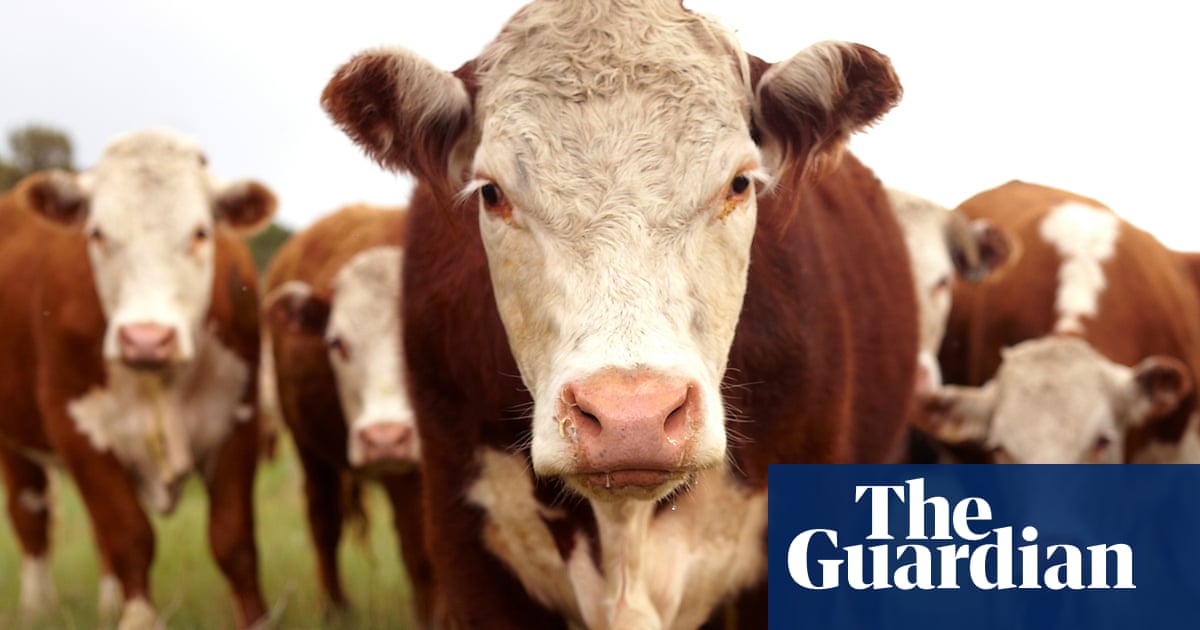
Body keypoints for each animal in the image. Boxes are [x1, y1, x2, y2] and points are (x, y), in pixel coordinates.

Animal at [0, 129, 274, 629]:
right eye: (97, 233)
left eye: (201, 232)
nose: (146, 339)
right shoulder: (79, 431)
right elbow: (129, 534)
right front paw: (137, 619)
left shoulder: (238, 422)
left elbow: (234, 540)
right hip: (15, 440)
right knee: (31, 513)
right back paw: (37, 607)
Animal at [260, 203, 433, 626]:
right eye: (336, 343)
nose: (385, 437)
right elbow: (421, 555)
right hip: (310, 452)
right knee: (324, 522)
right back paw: (335, 608)